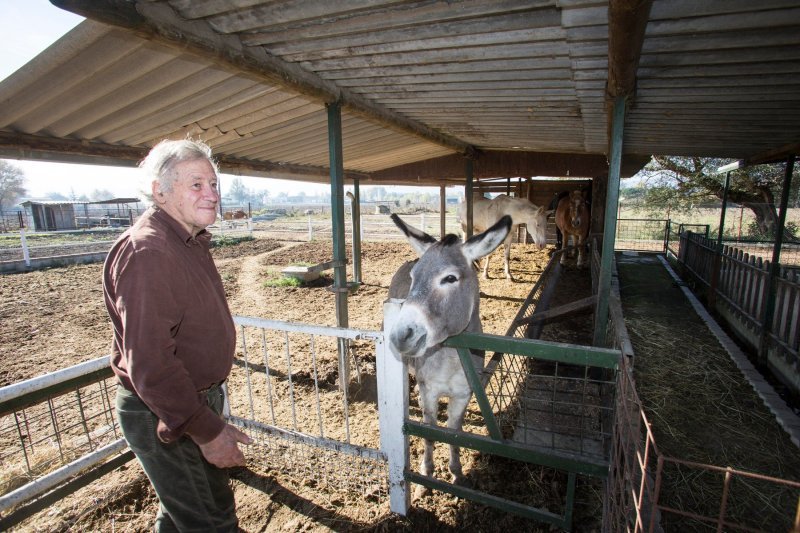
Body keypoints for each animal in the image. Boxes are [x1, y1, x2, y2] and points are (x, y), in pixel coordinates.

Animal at [388, 211, 512, 494]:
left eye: (450, 279)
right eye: (414, 278)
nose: (400, 335)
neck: (452, 355)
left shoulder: (464, 394)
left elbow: (454, 432)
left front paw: (456, 473)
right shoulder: (430, 391)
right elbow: (430, 430)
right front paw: (426, 475)